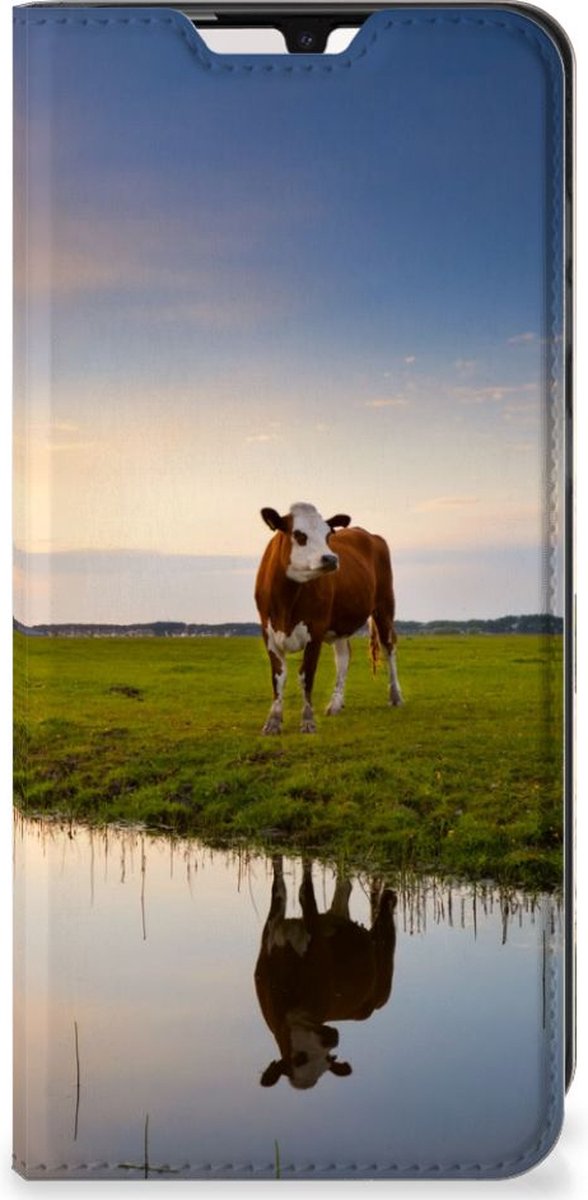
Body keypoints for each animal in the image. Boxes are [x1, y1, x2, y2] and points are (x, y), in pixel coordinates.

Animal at [254, 502, 403, 734]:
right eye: (299, 535)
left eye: (327, 535)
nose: (331, 558)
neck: (286, 601)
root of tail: (368, 533)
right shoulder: (268, 632)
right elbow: (278, 677)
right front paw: (273, 721)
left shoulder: (315, 630)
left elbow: (306, 675)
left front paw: (308, 721)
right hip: (340, 625)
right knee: (343, 656)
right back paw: (335, 704)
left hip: (384, 606)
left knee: (389, 648)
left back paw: (395, 696)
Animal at [254, 857, 397, 1090]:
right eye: (299, 1058)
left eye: (328, 1059)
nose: (332, 1039)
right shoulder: (271, 929)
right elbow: (280, 885)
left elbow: (305, 891)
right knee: (344, 887)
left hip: (384, 971)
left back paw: (390, 896)